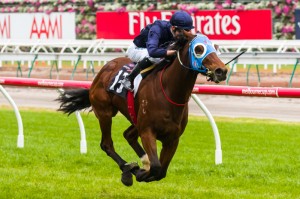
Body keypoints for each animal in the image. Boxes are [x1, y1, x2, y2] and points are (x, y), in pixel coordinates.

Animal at [56, 30, 226, 186]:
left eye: (215, 47)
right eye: (199, 49)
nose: (221, 71)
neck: (169, 91)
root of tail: (103, 71)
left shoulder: (172, 138)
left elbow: (161, 171)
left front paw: (142, 169)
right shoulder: (147, 131)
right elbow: (156, 167)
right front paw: (138, 172)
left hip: (135, 118)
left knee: (128, 135)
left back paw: (140, 162)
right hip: (105, 112)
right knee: (107, 144)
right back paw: (128, 168)